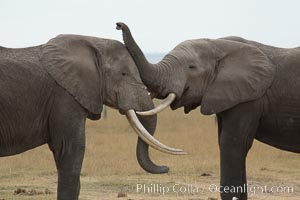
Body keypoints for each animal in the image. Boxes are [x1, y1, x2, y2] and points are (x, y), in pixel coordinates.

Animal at [116, 22, 300, 200]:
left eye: (191, 67)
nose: (119, 25)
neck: (219, 45)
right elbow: (226, 143)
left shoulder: (250, 99)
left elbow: (232, 143)